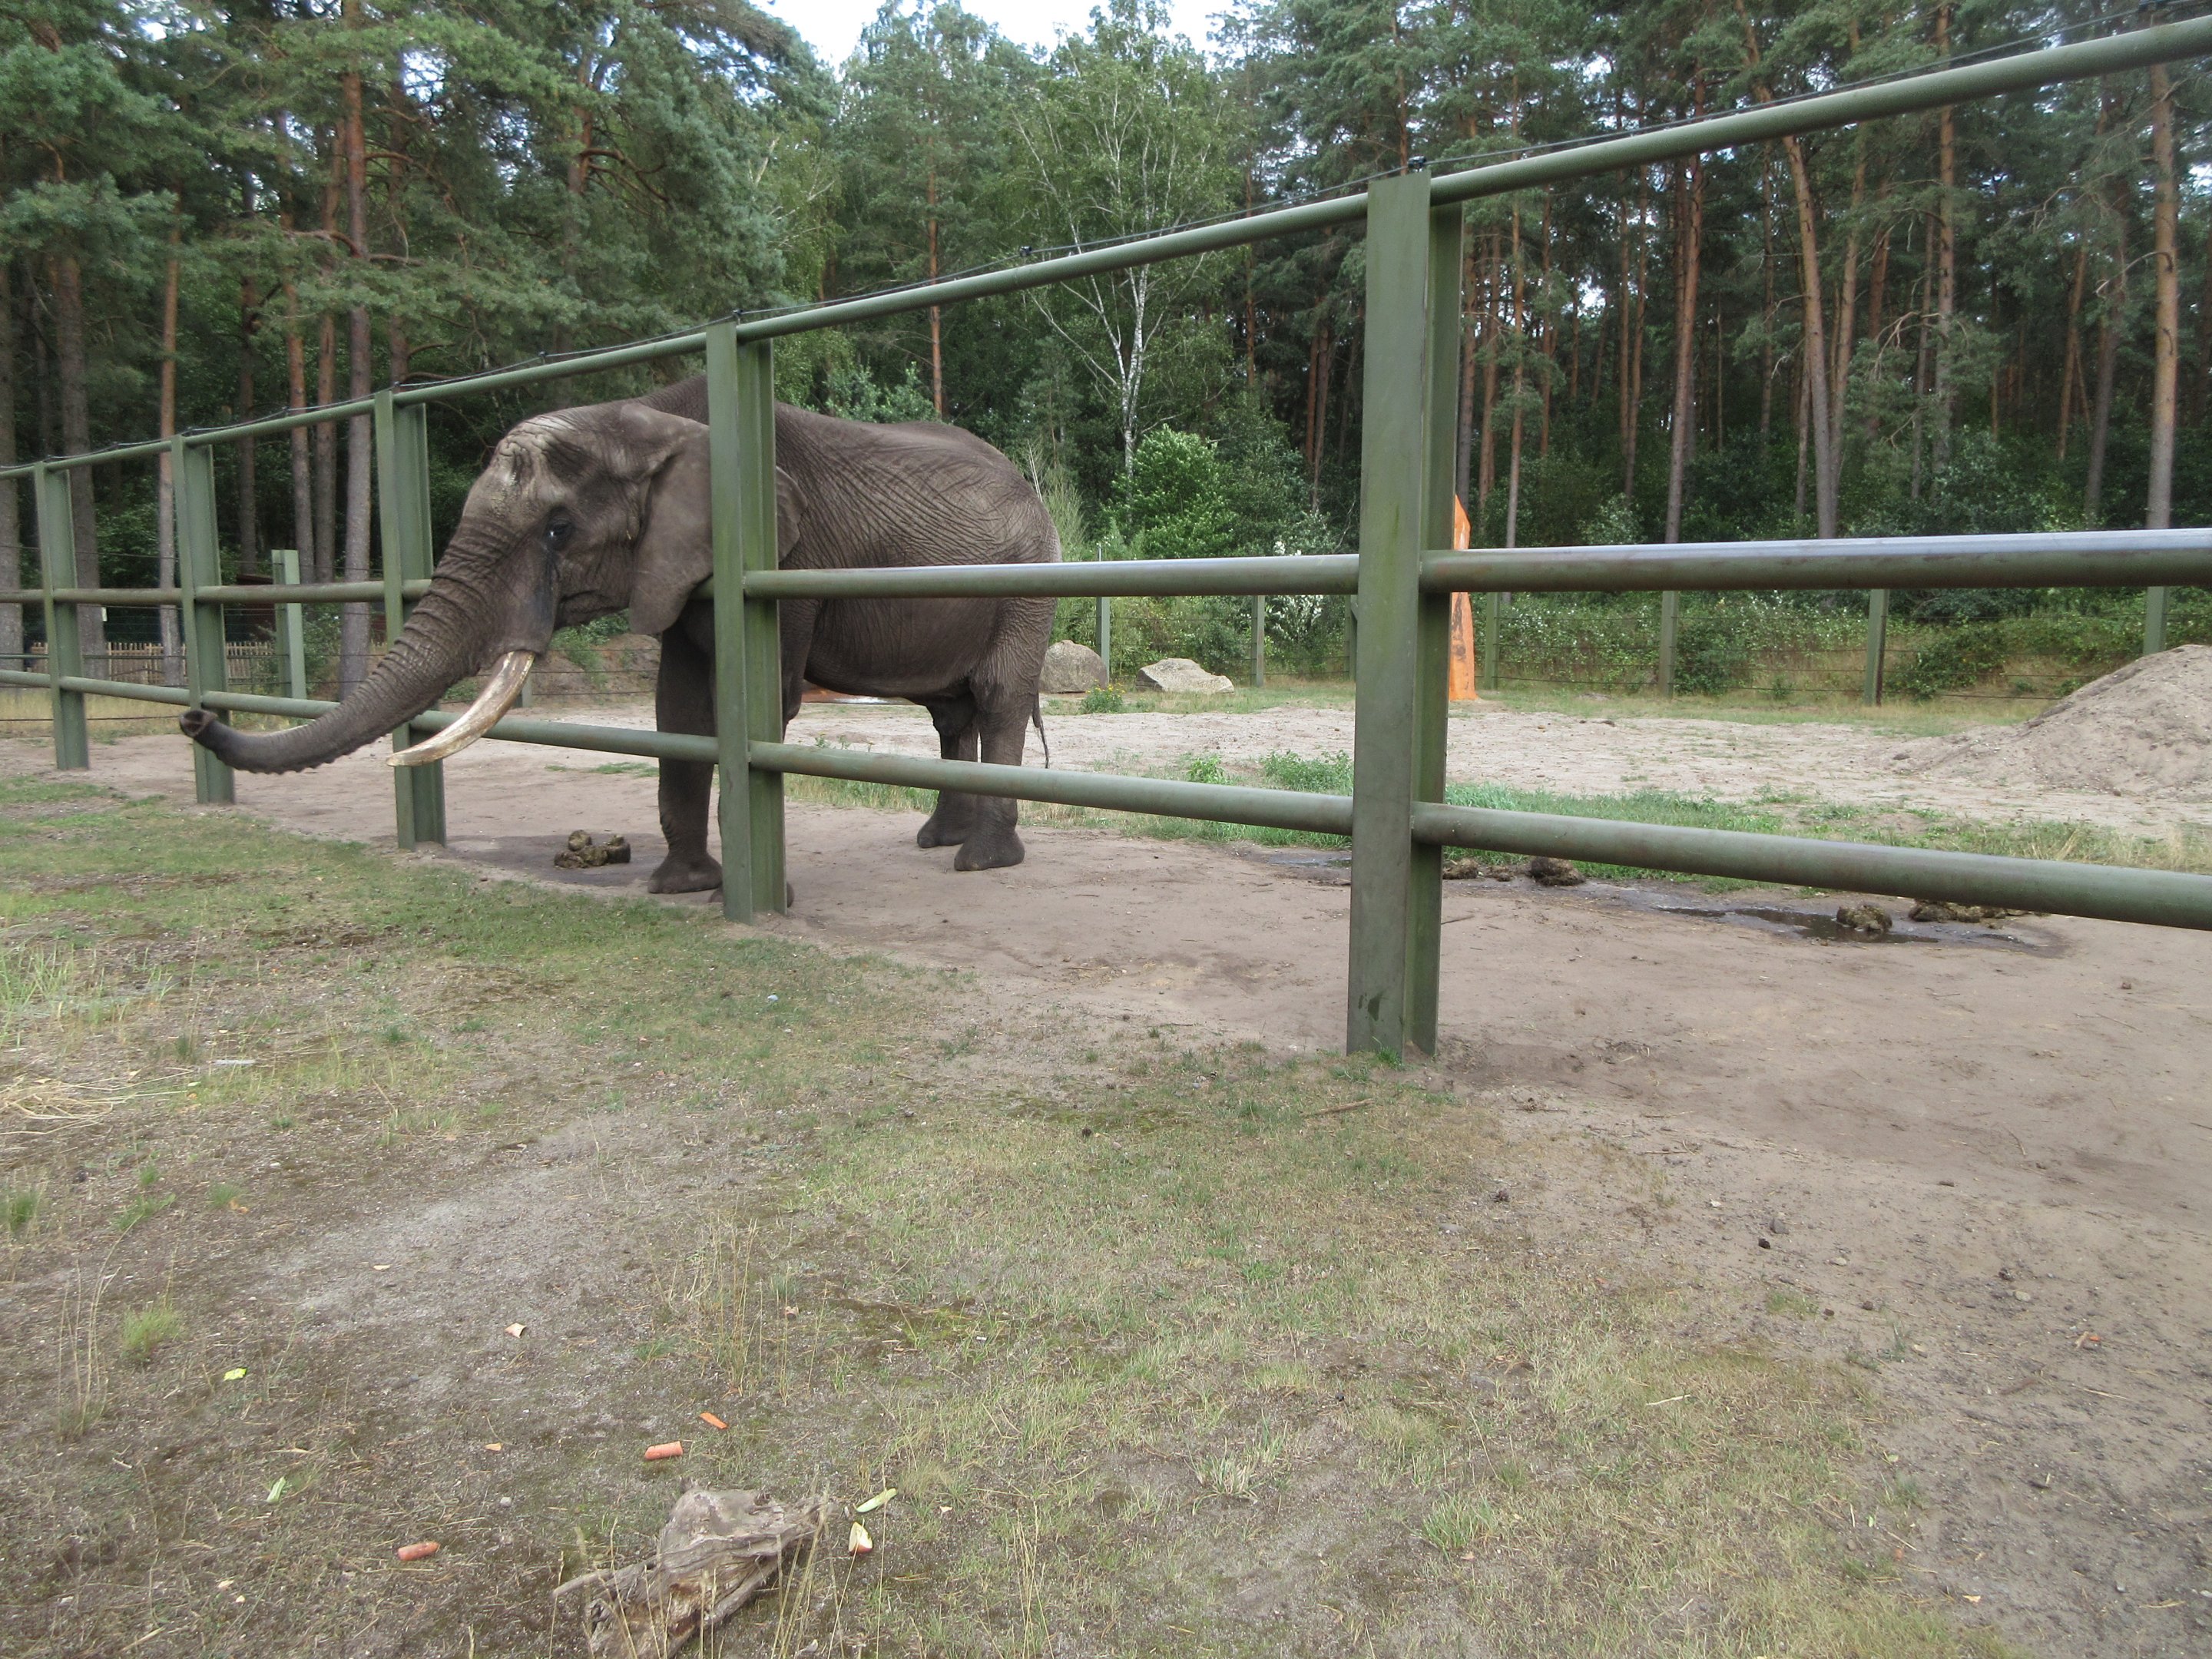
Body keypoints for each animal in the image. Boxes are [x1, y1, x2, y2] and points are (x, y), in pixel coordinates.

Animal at [180, 378, 1060, 885]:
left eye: (559, 530)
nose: (192, 716)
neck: (656, 421)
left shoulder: (785, 552)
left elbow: (754, 704)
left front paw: (742, 892)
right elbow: (680, 708)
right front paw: (683, 886)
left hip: (1029, 576)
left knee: (995, 695)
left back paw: (982, 862)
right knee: (950, 711)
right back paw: (937, 843)